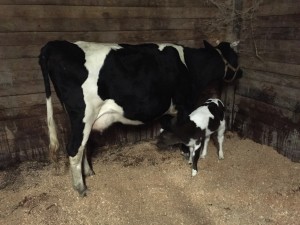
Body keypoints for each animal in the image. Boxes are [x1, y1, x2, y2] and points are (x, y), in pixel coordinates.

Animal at [38, 39, 243, 195]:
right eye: (236, 56)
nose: (241, 72)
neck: (189, 66)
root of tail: (57, 44)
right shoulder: (185, 104)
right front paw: (187, 155)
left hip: (81, 118)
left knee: (83, 145)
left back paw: (88, 173)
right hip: (83, 114)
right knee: (74, 149)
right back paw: (81, 189)